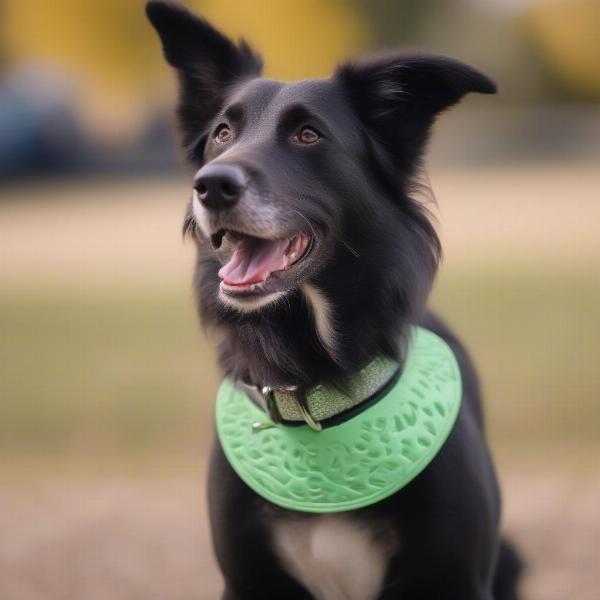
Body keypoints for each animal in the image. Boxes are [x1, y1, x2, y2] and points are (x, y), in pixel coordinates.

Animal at [144, 2, 520, 596]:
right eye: (222, 132)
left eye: (307, 135)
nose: (210, 185)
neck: (316, 391)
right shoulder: (248, 580)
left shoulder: (454, 576)